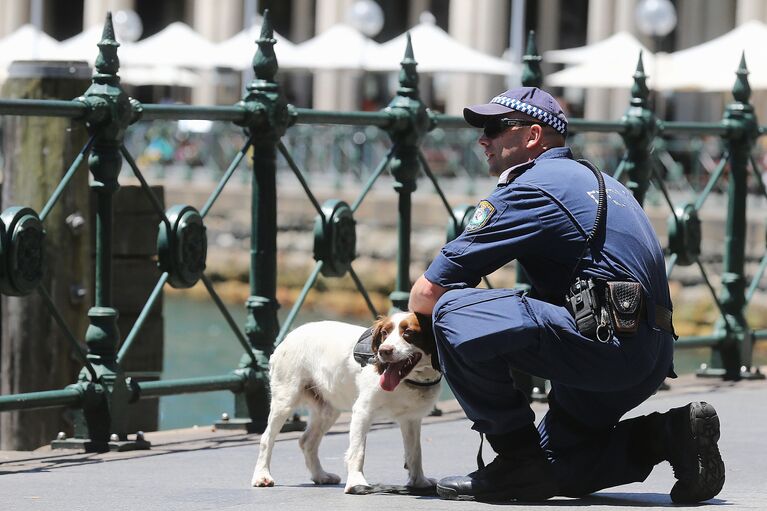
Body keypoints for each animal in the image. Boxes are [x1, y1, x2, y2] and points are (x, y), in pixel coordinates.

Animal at [254, 310, 444, 494]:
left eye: (408, 332)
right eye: (384, 333)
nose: (384, 351)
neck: (409, 381)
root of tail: (289, 336)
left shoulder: (411, 418)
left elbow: (415, 453)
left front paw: (419, 482)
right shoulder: (362, 411)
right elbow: (358, 451)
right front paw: (356, 483)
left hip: (327, 410)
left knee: (307, 441)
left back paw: (321, 475)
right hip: (285, 399)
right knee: (267, 438)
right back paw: (262, 476)